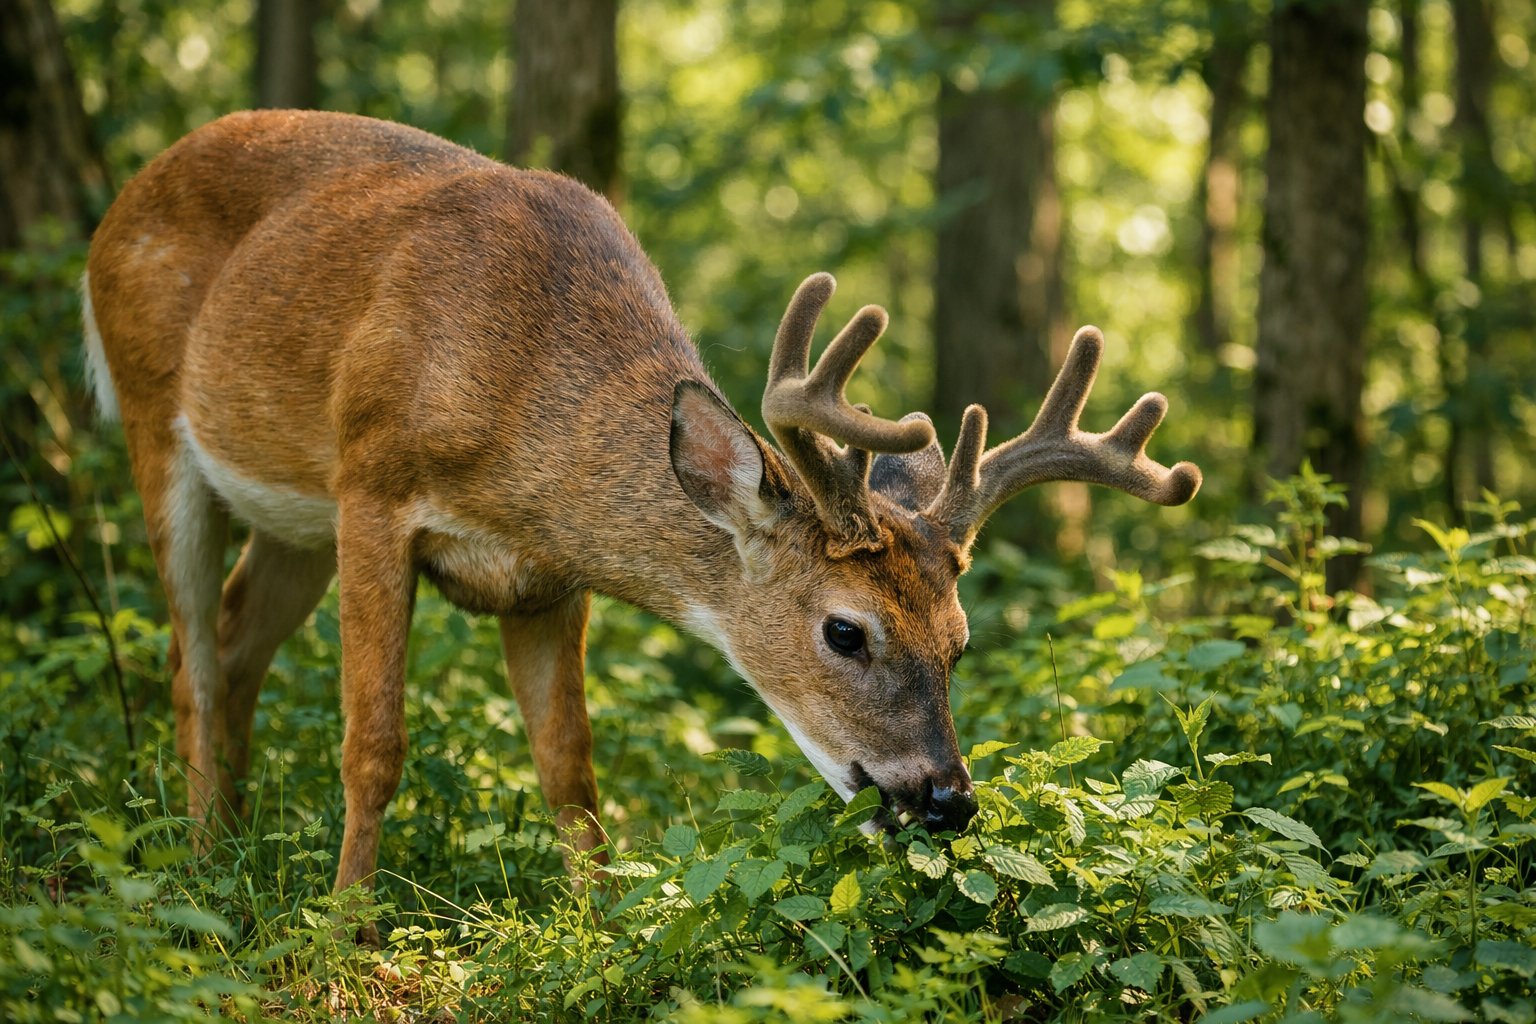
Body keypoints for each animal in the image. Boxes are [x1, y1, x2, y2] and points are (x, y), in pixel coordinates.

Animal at [83, 110, 1200, 910]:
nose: (945, 799)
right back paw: (198, 868)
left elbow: (570, 770)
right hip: (153, 417)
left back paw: (231, 848)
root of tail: (121, 197)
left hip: (291, 520)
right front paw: (346, 927)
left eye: (961, 639)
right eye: (846, 630)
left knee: (234, 643)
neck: (526, 417)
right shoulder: (373, 485)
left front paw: (598, 927)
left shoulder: (545, 577)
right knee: (190, 659)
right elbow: (374, 742)